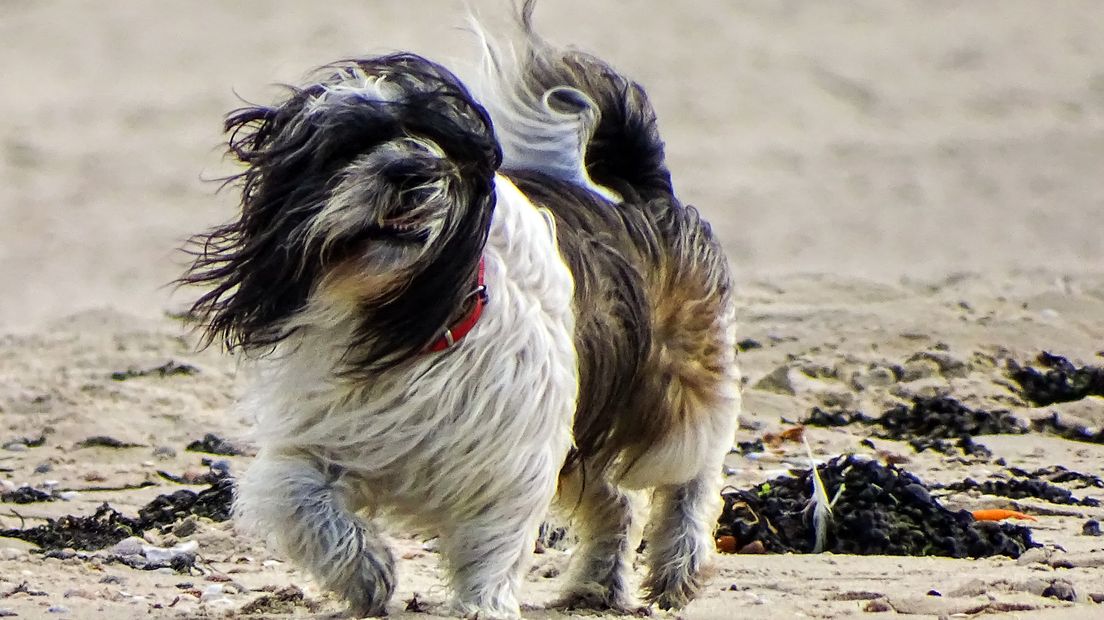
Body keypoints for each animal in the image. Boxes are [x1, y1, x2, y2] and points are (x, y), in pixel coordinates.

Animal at [183, 3, 741, 613]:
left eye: (435, 143)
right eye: (346, 147)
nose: (408, 170)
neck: (405, 313)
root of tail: (641, 197)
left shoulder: (509, 462)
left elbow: (493, 548)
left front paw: (480, 606)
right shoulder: (320, 440)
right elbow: (300, 501)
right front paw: (367, 573)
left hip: (667, 390)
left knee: (692, 471)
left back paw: (679, 563)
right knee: (616, 500)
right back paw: (596, 583)